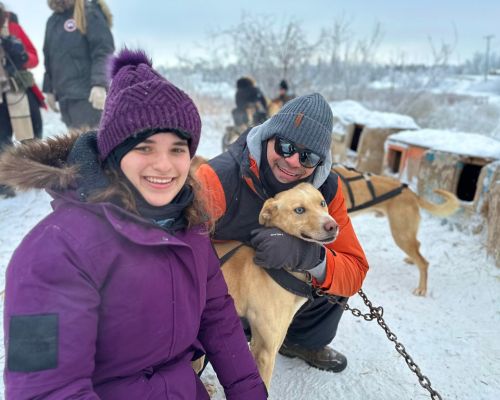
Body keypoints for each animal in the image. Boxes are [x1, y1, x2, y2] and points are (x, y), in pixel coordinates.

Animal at [334, 164, 458, 296]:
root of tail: (412, 194)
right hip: (405, 234)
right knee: (418, 245)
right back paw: (411, 260)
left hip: (400, 235)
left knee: (424, 263)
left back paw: (421, 288)